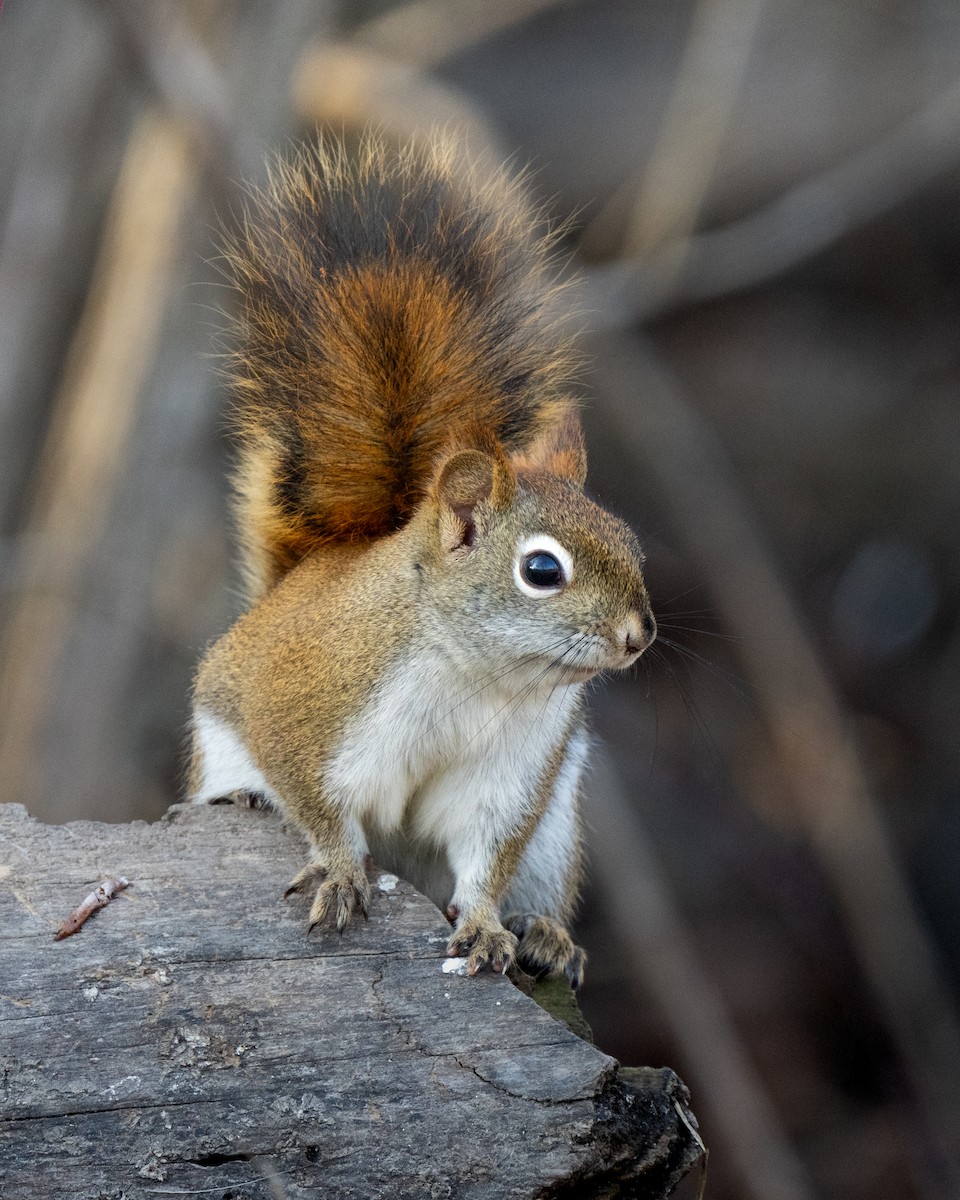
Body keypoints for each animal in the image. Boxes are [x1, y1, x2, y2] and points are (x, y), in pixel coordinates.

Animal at [187, 134, 656, 986]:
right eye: (542, 571)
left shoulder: (513, 771)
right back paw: (244, 801)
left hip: (555, 827)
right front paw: (342, 872)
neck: (478, 676)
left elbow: (486, 856)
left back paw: (546, 933)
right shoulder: (308, 709)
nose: (639, 636)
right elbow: (319, 806)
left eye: (632, 545)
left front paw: (485, 925)